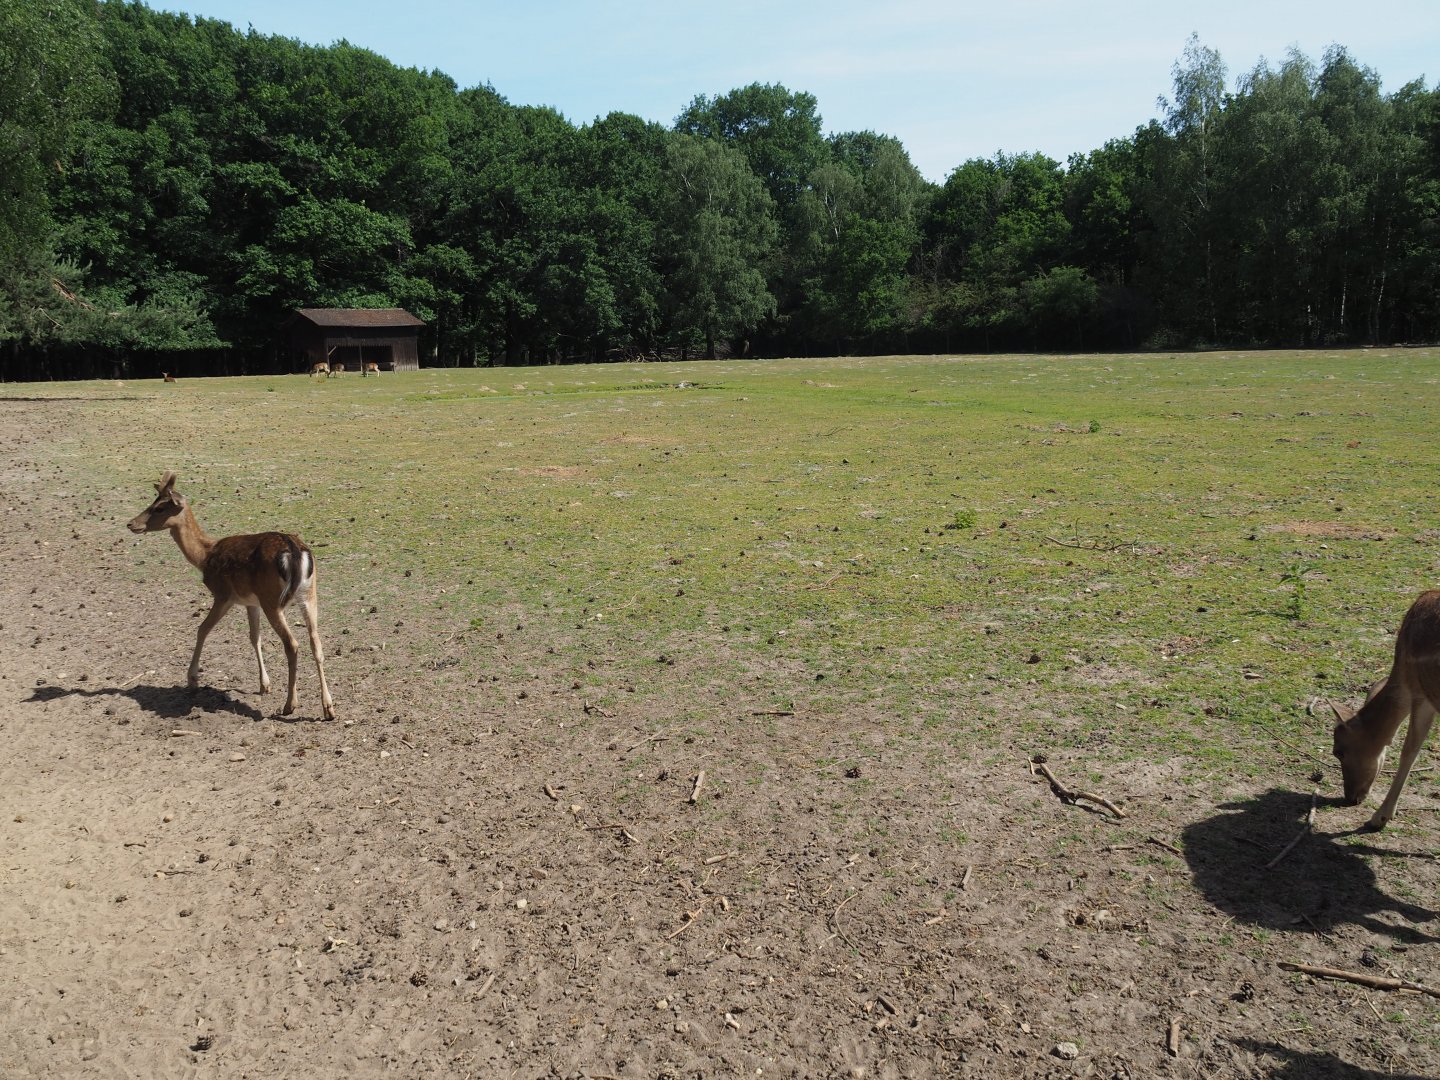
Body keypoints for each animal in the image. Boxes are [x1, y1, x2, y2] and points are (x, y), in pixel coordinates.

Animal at [127, 471, 336, 721]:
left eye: (159, 507)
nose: (131, 523)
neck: (204, 556)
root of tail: (295, 552)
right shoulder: (251, 602)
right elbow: (254, 637)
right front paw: (264, 685)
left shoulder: (223, 595)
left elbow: (202, 629)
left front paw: (192, 680)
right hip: (309, 595)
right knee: (316, 643)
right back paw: (328, 708)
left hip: (272, 600)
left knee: (292, 644)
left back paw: (289, 705)